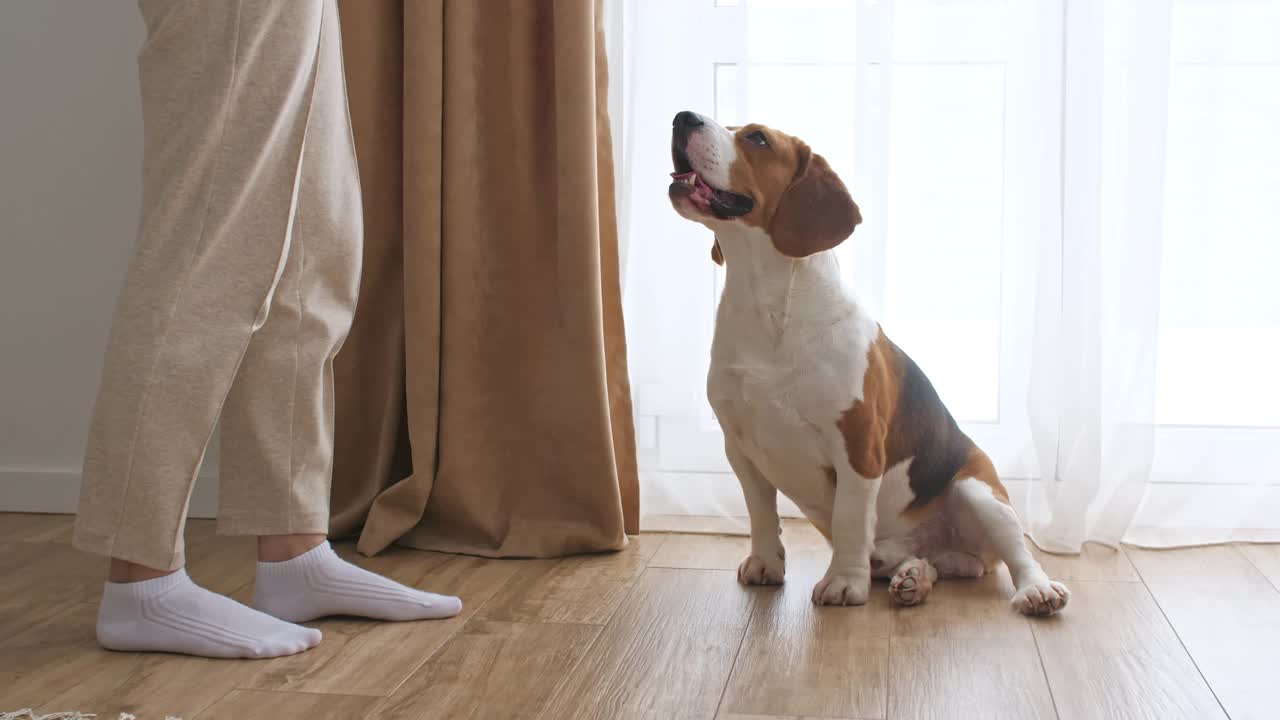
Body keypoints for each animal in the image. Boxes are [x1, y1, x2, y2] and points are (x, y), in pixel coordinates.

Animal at [670, 109, 1070, 614]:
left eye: (757, 138)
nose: (682, 117)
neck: (769, 304)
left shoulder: (858, 447)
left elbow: (849, 520)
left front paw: (844, 582)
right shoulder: (741, 448)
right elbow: (760, 513)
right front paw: (765, 562)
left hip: (980, 493)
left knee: (1018, 555)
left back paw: (1036, 590)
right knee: (932, 562)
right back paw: (914, 577)